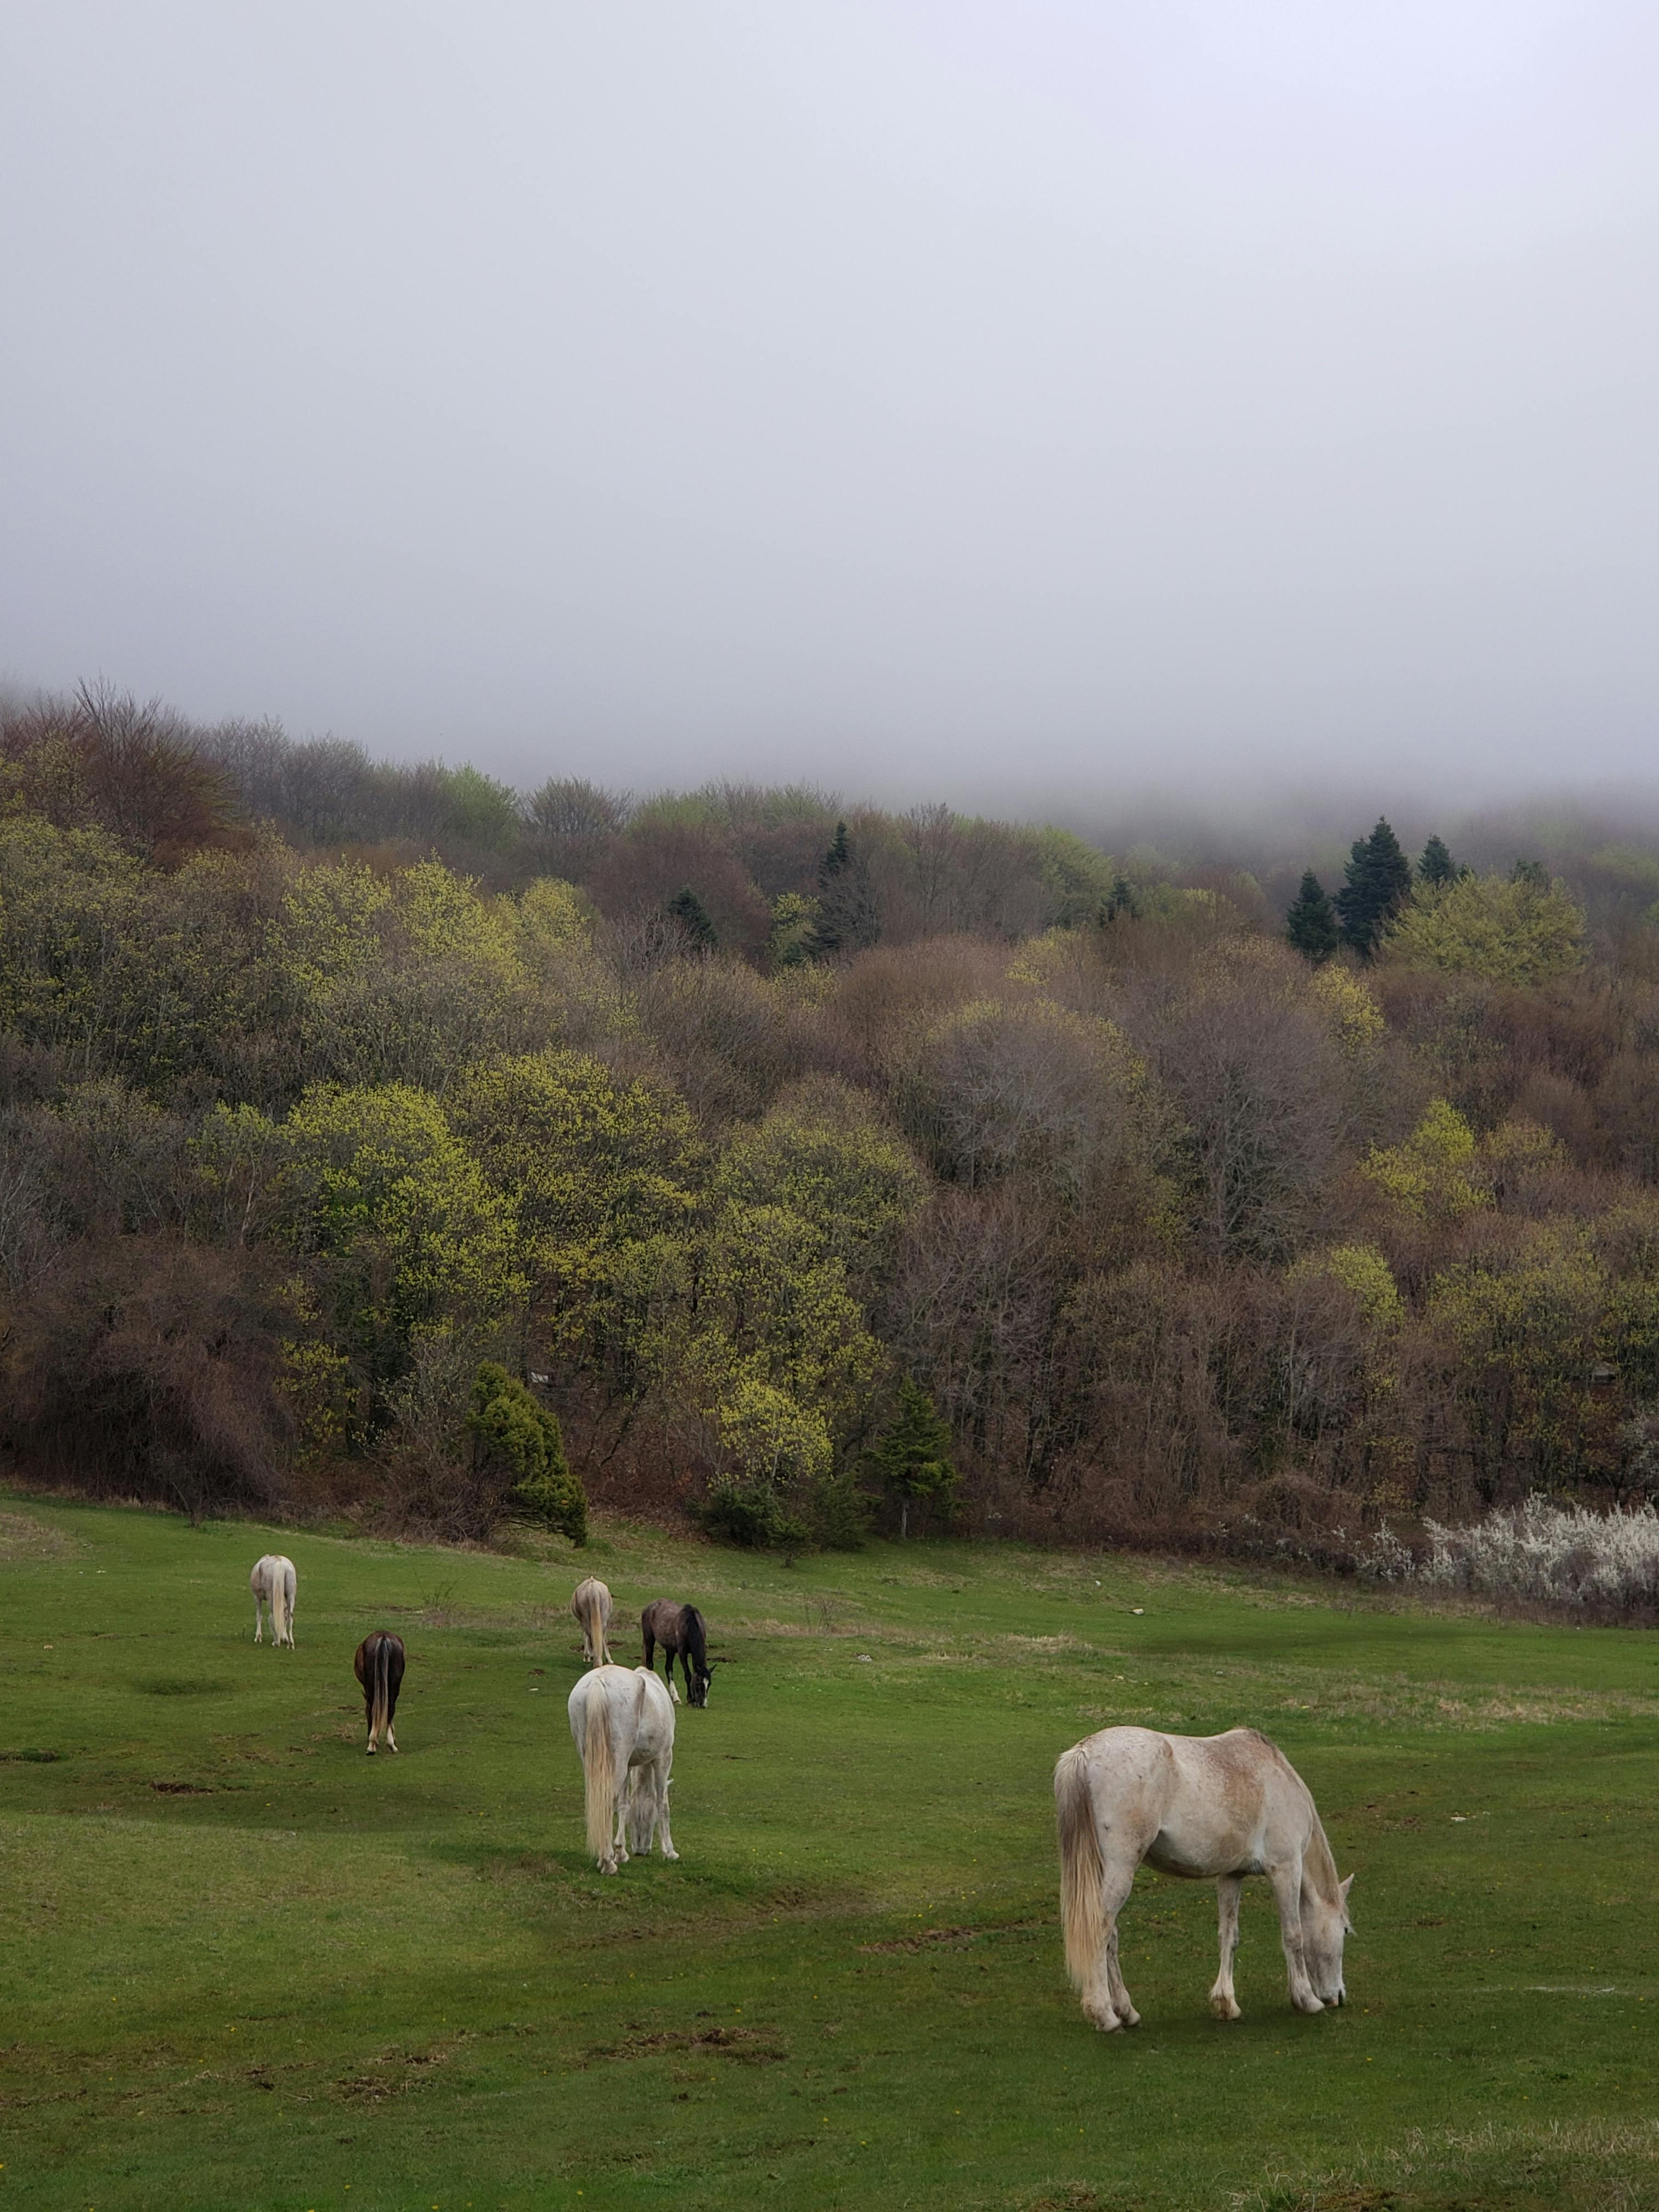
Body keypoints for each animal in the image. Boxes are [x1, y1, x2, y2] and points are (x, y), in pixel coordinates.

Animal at [249, 1554, 297, 1647]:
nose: (284, 1639)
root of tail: (280, 1563)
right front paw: (285, 1638)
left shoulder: (257, 1597)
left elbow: (259, 1616)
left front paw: (258, 1637)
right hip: (291, 1594)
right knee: (290, 1614)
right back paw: (291, 1643)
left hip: (270, 1595)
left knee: (274, 1615)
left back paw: (276, 1642)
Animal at [566, 1664, 679, 1874]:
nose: (642, 1850)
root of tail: (599, 1680)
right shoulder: (664, 1757)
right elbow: (663, 1804)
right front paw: (669, 1851)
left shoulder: (627, 1765)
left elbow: (624, 1804)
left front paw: (621, 1851)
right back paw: (607, 1862)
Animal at [570, 1576, 614, 1666]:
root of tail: (593, 1589)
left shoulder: (582, 1622)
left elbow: (585, 1636)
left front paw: (587, 1656)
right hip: (602, 1619)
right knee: (600, 1636)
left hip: (587, 1620)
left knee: (592, 1635)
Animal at [640, 1599, 712, 1707]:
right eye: (699, 1684)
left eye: (709, 1684)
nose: (703, 1704)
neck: (688, 1625)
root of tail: (650, 1606)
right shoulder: (682, 1653)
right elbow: (688, 1675)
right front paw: (690, 1700)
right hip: (649, 1640)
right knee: (649, 1664)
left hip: (670, 1649)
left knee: (668, 1669)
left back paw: (675, 1698)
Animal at [1054, 1726, 1353, 2032]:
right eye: (1345, 1930)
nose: (1338, 1997)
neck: (1276, 1777)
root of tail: (1085, 1751)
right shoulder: (1286, 1868)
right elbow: (1294, 1935)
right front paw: (1307, 2000)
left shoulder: (1231, 1875)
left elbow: (1229, 1936)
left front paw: (1226, 2004)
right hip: (1119, 1870)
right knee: (1100, 1930)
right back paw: (1105, 2015)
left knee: (1111, 1936)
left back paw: (1127, 2012)